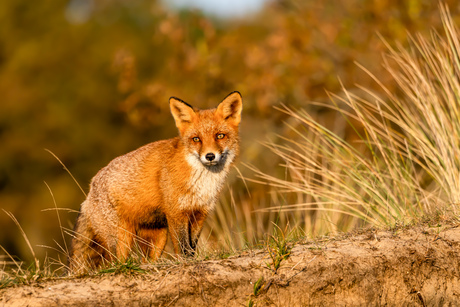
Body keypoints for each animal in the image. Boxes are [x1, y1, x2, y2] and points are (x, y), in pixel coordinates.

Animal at [68, 91, 243, 272]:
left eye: (220, 136)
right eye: (196, 139)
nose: (209, 156)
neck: (203, 182)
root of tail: (90, 190)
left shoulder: (200, 213)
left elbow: (192, 247)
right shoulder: (176, 213)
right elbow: (183, 246)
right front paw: (185, 263)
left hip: (157, 238)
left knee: (147, 260)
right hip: (122, 238)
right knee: (117, 263)